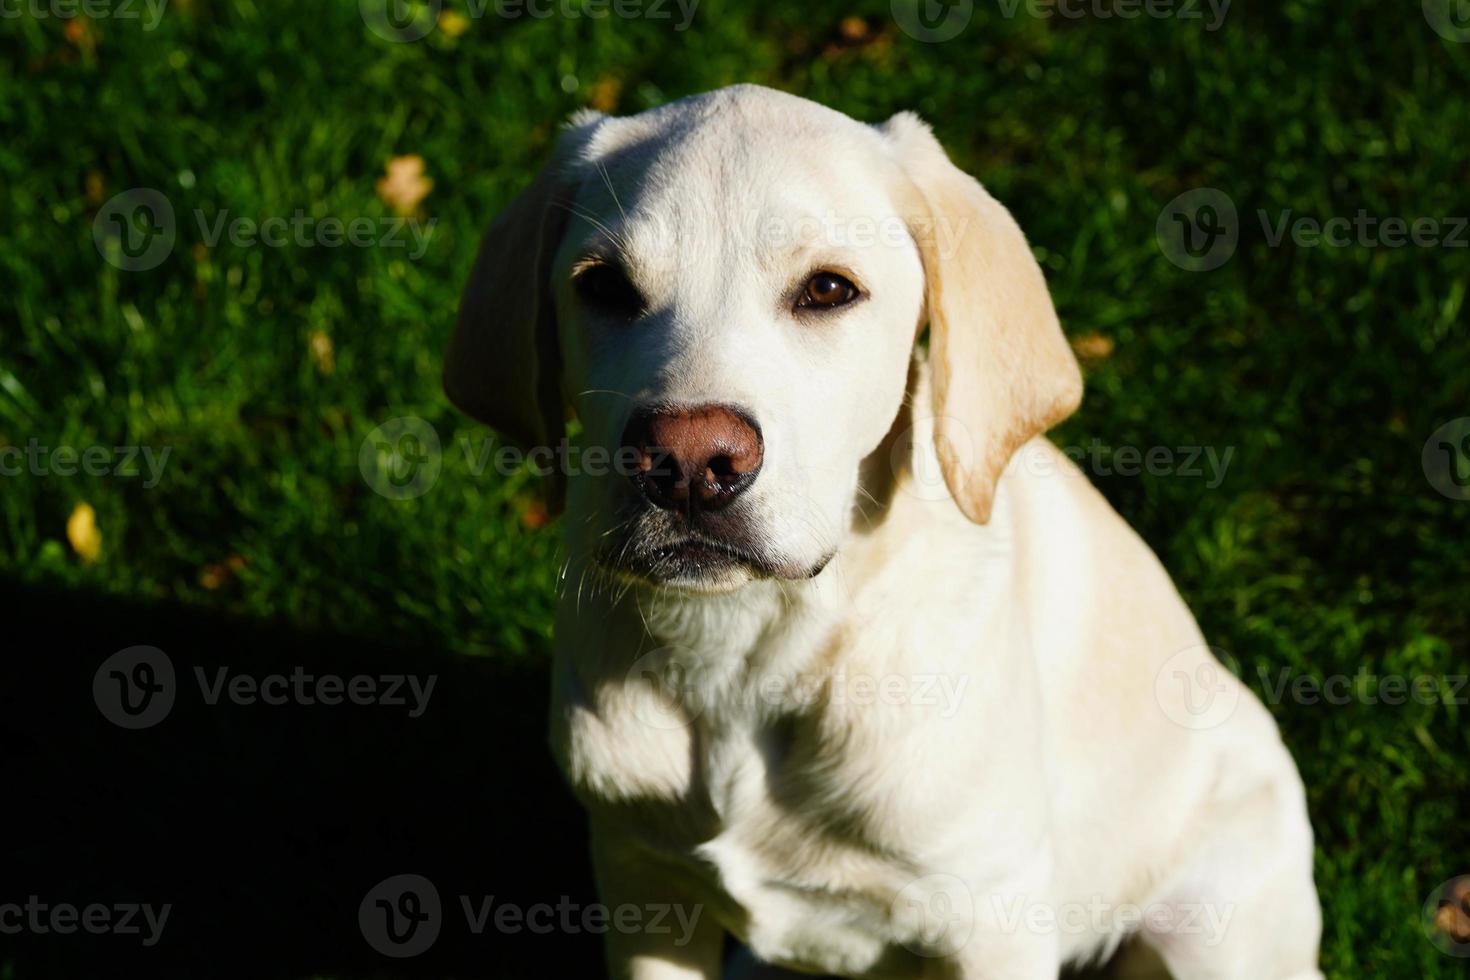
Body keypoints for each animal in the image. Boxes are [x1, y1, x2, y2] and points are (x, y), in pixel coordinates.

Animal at [441, 84, 1328, 980]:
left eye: (828, 290)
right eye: (606, 288)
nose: (689, 463)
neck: (747, 655)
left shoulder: (993, 917)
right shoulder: (640, 880)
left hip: (1210, 931)